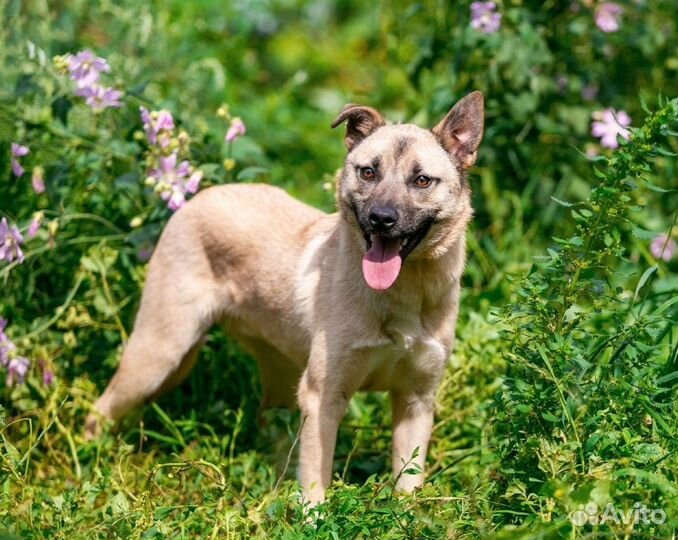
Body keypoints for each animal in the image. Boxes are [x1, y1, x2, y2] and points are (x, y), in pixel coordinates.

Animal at [86, 89, 484, 506]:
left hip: (272, 373)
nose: (381, 218)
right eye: (368, 172)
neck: (402, 294)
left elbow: (408, 480)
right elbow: (315, 477)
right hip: (159, 355)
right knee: (99, 410)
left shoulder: (416, 400)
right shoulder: (323, 397)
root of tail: (200, 195)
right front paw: (315, 515)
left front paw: (406, 512)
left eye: (422, 180)